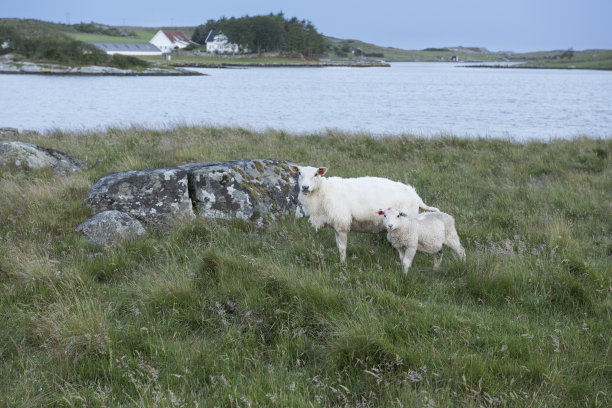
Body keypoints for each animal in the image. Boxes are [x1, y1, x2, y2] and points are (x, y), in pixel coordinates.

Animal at [290, 165, 438, 262]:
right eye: (299, 173)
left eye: (316, 174)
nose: (305, 187)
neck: (323, 192)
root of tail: (416, 197)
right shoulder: (337, 226)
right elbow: (338, 245)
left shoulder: (342, 222)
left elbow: (342, 247)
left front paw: (342, 264)